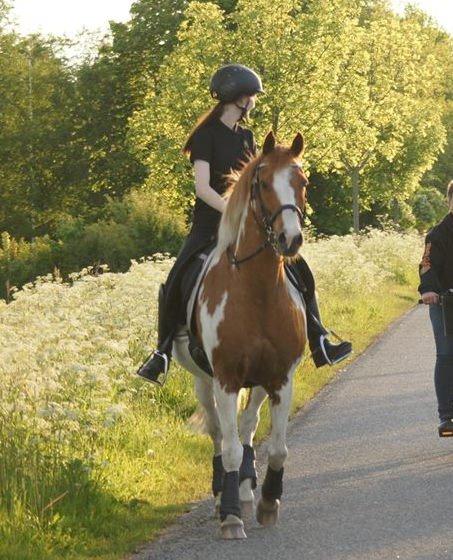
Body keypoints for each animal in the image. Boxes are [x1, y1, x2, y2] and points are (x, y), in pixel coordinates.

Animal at [172, 130, 308, 540]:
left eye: (303, 182)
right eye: (262, 184)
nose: (290, 240)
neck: (257, 290)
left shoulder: (281, 379)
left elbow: (276, 448)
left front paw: (268, 501)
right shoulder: (227, 379)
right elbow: (229, 447)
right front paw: (230, 516)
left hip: (259, 382)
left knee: (247, 429)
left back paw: (247, 490)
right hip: (204, 382)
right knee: (220, 434)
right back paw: (224, 495)